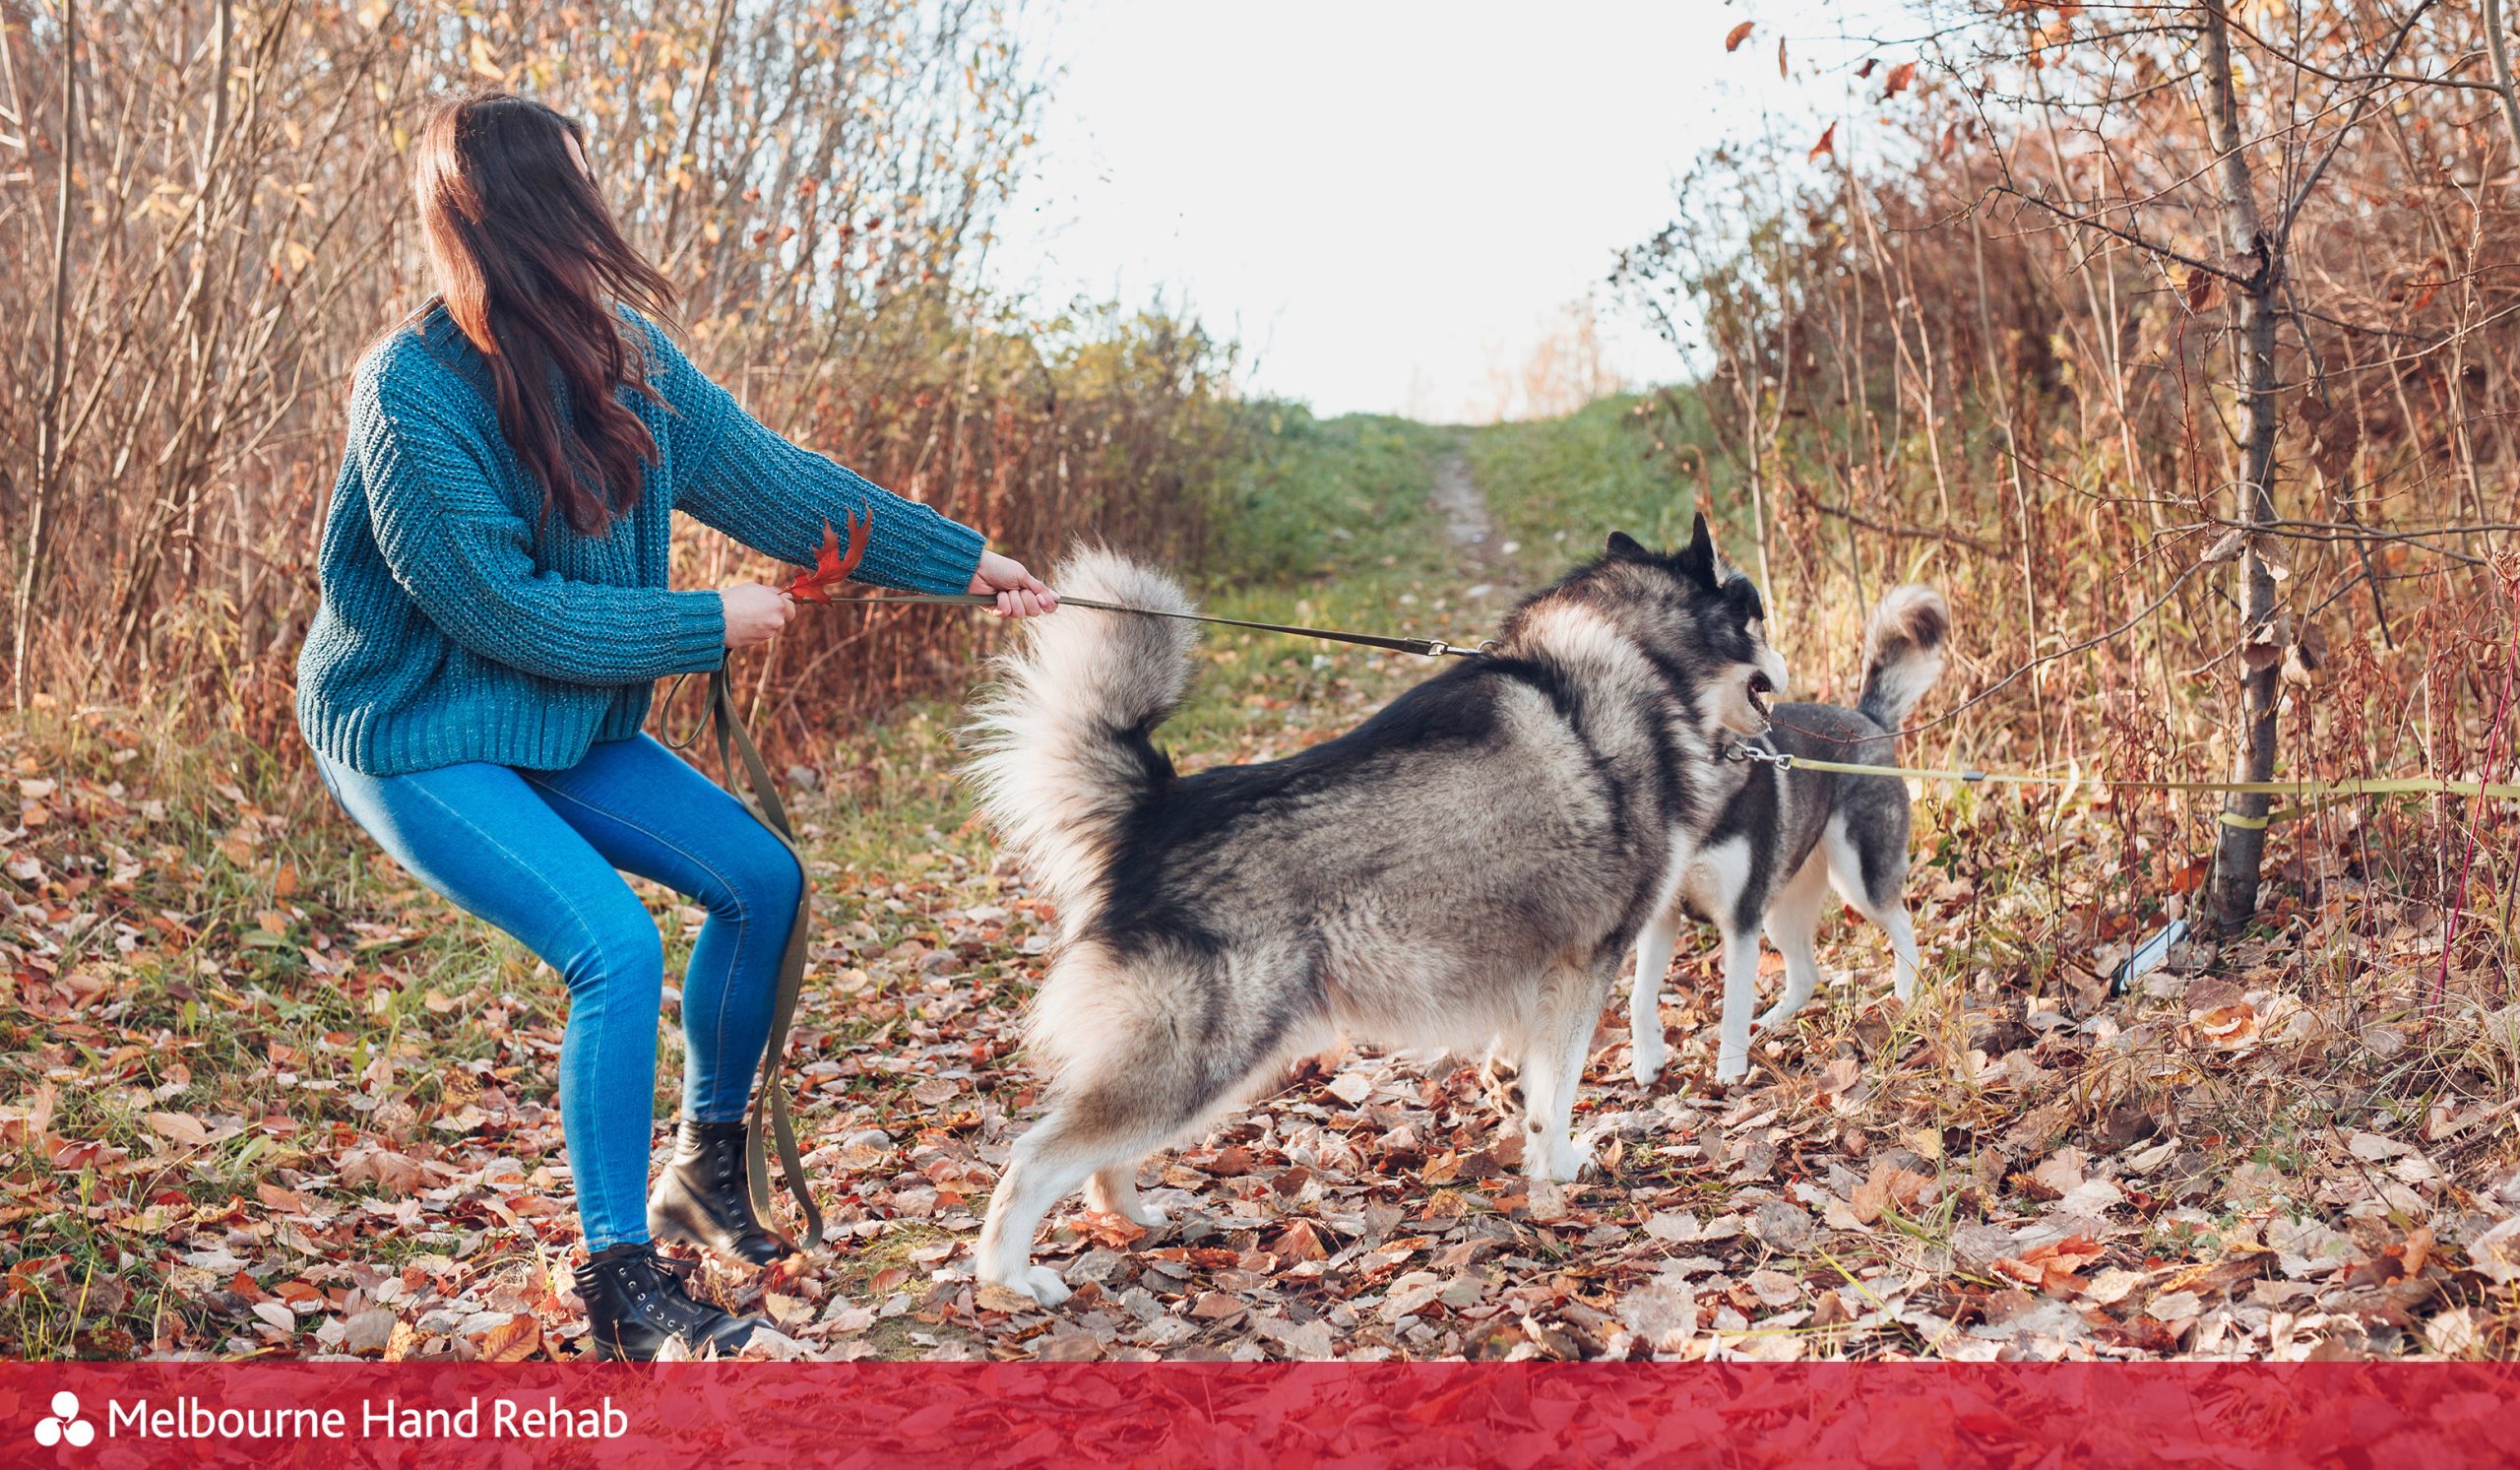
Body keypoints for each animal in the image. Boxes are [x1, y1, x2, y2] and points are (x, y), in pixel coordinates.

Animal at [952, 516, 1784, 1301]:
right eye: (1758, 614)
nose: (1784, 675)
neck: (1643, 661)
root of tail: (1157, 807)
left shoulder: (1539, 970)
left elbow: (1526, 1073)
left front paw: (1520, 1118)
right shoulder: (1588, 960)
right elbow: (1561, 1087)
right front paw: (1558, 1166)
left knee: (1099, 1159)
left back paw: (1132, 1217)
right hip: (1206, 1053)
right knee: (1034, 1159)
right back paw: (1009, 1277)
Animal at [1622, 580, 1955, 1089]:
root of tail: (1866, 721)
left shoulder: (1740, 921)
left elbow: (1732, 1006)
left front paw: (1730, 1071)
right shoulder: (1664, 917)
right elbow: (1639, 996)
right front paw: (1647, 1060)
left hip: (1859, 879)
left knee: (1902, 926)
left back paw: (1904, 995)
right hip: (1780, 908)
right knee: (1805, 974)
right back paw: (1775, 1021)